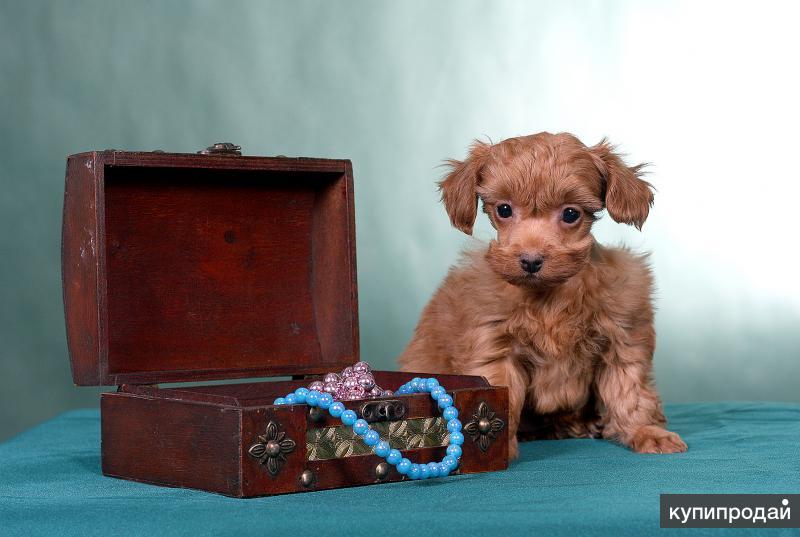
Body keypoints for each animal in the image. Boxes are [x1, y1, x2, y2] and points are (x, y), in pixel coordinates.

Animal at [396, 133, 684, 456]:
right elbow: (501, 398)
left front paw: (644, 431)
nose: (531, 261)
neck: (549, 295)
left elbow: (630, 392)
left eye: (570, 214)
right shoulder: (496, 349)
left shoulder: (620, 337)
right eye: (504, 210)